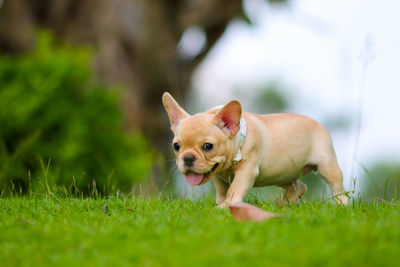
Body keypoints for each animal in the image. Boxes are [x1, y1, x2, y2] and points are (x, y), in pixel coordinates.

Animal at [162, 92, 346, 207]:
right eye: (176, 146)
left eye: (208, 146)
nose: (187, 158)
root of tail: (319, 124)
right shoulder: (219, 177)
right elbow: (222, 191)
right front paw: (220, 203)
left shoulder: (247, 171)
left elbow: (234, 189)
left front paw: (227, 206)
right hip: (281, 173)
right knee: (298, 187)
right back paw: (284, 204)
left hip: (327, 165)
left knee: (337, 188)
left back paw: (341, 206)